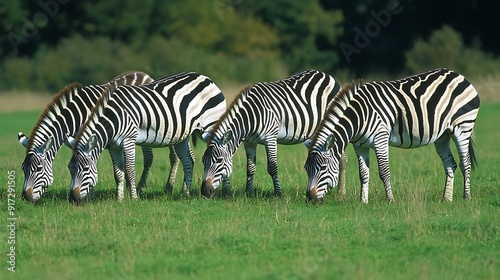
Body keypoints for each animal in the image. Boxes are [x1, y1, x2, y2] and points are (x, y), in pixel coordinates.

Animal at [18, 71, 182, 203]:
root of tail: (143, 74)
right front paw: (88, 194)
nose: (25, 199)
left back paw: (154, 188)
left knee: (156, 157)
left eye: (38, 169)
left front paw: (88, 196)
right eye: (23, 169)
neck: (80, 114)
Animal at [67, 70, 227, 201]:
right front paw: (120, 199)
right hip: (183, 136)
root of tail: (204, 77)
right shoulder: (113, 146)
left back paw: (224, 192)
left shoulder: (128, 139)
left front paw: (134, 197)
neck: (114, 116)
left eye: (85, 169)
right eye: (69, 168)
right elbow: (118, 173)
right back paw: (184, 193)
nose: (72, 199)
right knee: (188, 161)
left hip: (212, 125)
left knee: (224, 152)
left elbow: (130, 169)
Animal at [201, 69, 346, 198]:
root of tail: (326, 75)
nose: (204, 192)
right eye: (203, 161)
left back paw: (340, 192)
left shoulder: (270, 138)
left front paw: (278, 194)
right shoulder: (249, 142)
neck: (251, 116)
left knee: (342, 158)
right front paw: (248, 193)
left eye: (219, 160)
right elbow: (250, 168)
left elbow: (272, 167)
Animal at [304, 68, 480, 203]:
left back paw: (467, 197)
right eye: (306, 169)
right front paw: (363, 201)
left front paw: (390, 200)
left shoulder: (380, 139)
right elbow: (363, 173)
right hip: (442, 136)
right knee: (451, 164)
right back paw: (446, 199)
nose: (310, 199)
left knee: (465, 163)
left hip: (463, 127)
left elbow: (384, 171)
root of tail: (459, 75)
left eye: (323, 168)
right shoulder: (360, 145)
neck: (359, 116)